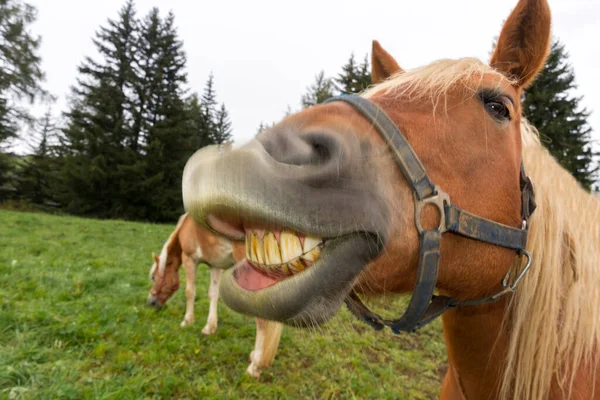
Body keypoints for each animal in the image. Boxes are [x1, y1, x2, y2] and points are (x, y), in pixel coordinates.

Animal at [148, 212, 284, 378]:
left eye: (153, 277)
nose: (151, 302)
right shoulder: (215, 266)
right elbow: (213, 295)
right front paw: (209, 327)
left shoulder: (189, 259)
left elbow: (190, 292)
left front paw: (187, 321)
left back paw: (255, 366)